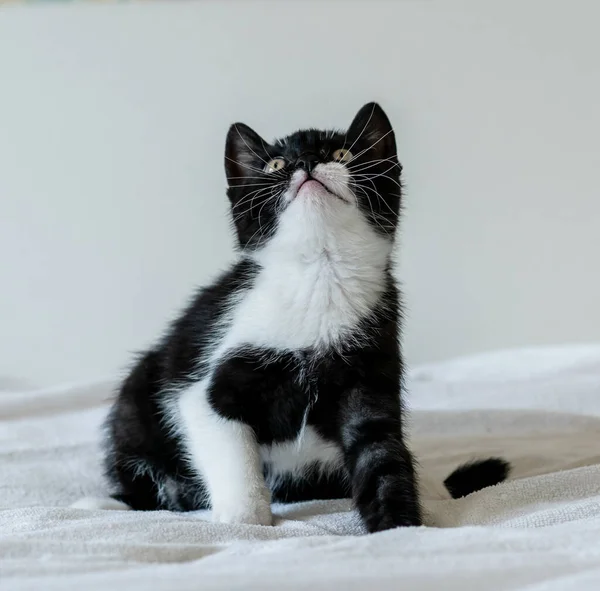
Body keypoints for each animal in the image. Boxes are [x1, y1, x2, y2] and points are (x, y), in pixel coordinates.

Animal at [101, 104, 508, 536]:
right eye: (276, 164)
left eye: (343, 153)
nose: (308, 162)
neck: (320, 274)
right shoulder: (206, 386)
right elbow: (231, 452)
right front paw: (245, 521)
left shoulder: (369, 376)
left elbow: (380, 455)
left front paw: (398, 529)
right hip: (137, 397)